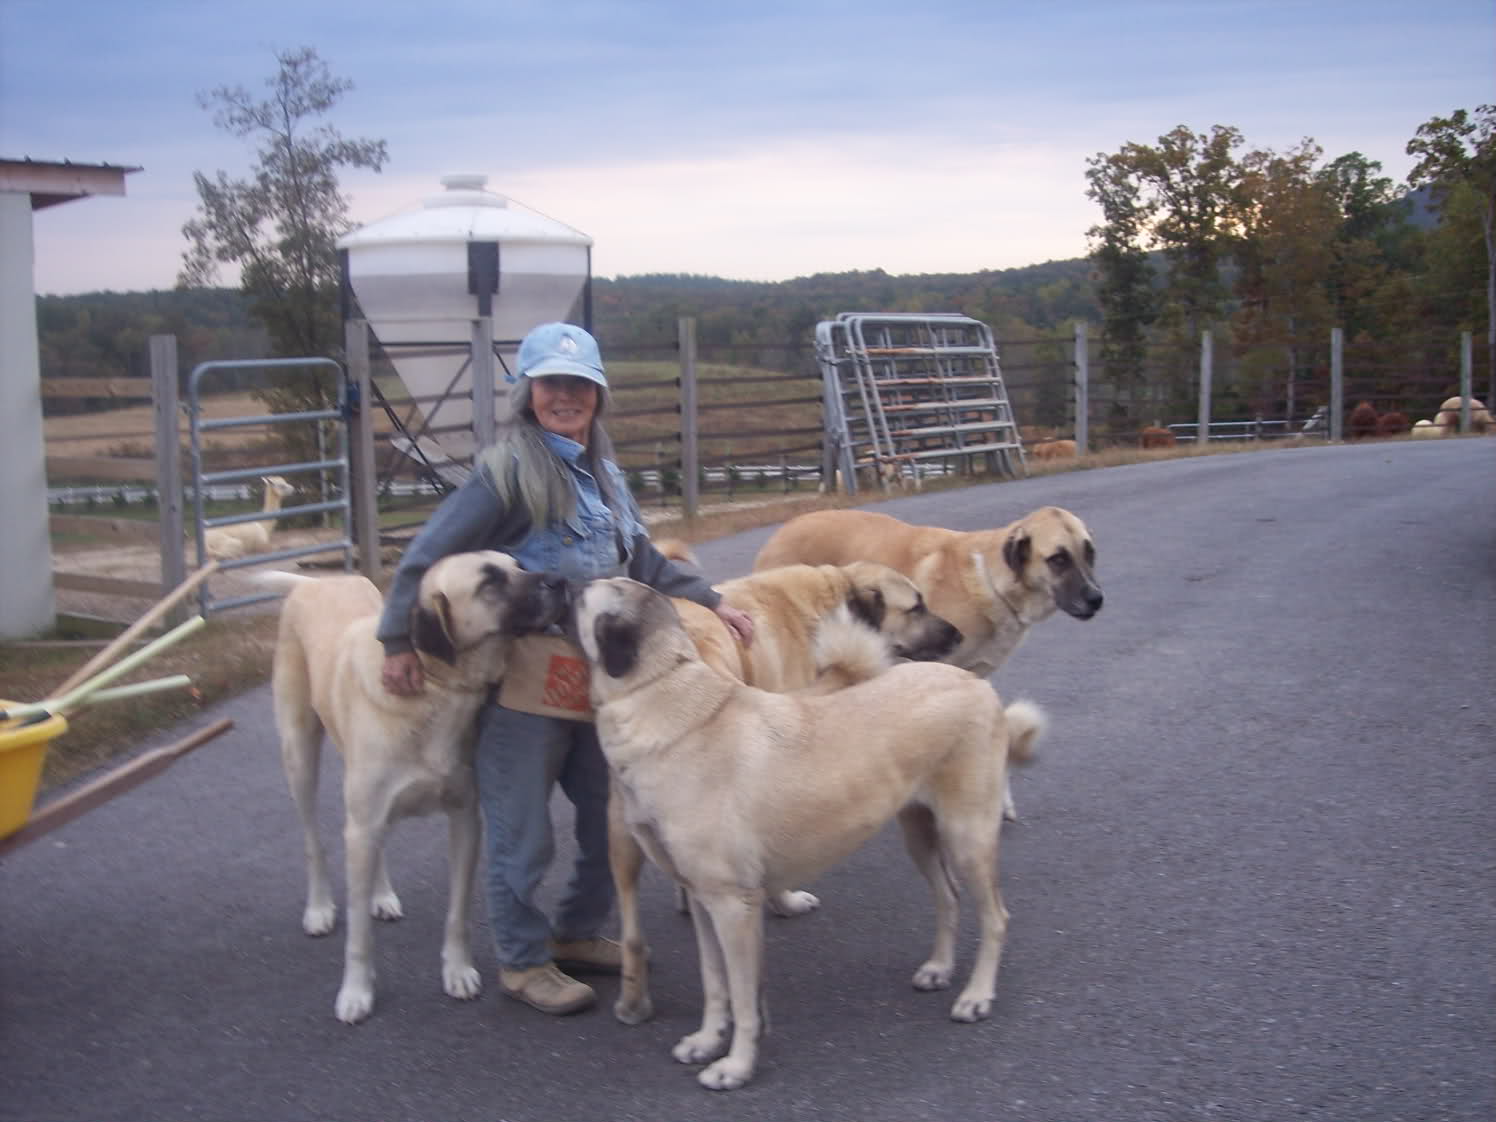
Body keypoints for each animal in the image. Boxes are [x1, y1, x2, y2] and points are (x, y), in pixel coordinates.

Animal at [263, 553, 565, 1029]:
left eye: (518, 564)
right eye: (489, 582)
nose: (562, 581)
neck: (437, 690)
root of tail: (314, 582)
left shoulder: (465, 819)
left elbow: (457, 914)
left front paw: (458, 972)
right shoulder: (362, 823)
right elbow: (359, 937)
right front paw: (356, 994)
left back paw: (381, 895)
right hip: (299, 756)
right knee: (314, 840)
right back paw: (320, 908)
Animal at [565, 583, 1047, 1095]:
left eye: (580, 596)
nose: (552, 585)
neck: (658, 688)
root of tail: (975, 682)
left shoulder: (733, 907)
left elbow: (743, 998)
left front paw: (736, 1067)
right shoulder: (701, 901)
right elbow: (715, 983)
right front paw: (707, 1041)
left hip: (967, 836)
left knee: (995, 917)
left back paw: (976, 996)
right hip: (919, 833)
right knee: (948, 898)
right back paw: (939, 967)